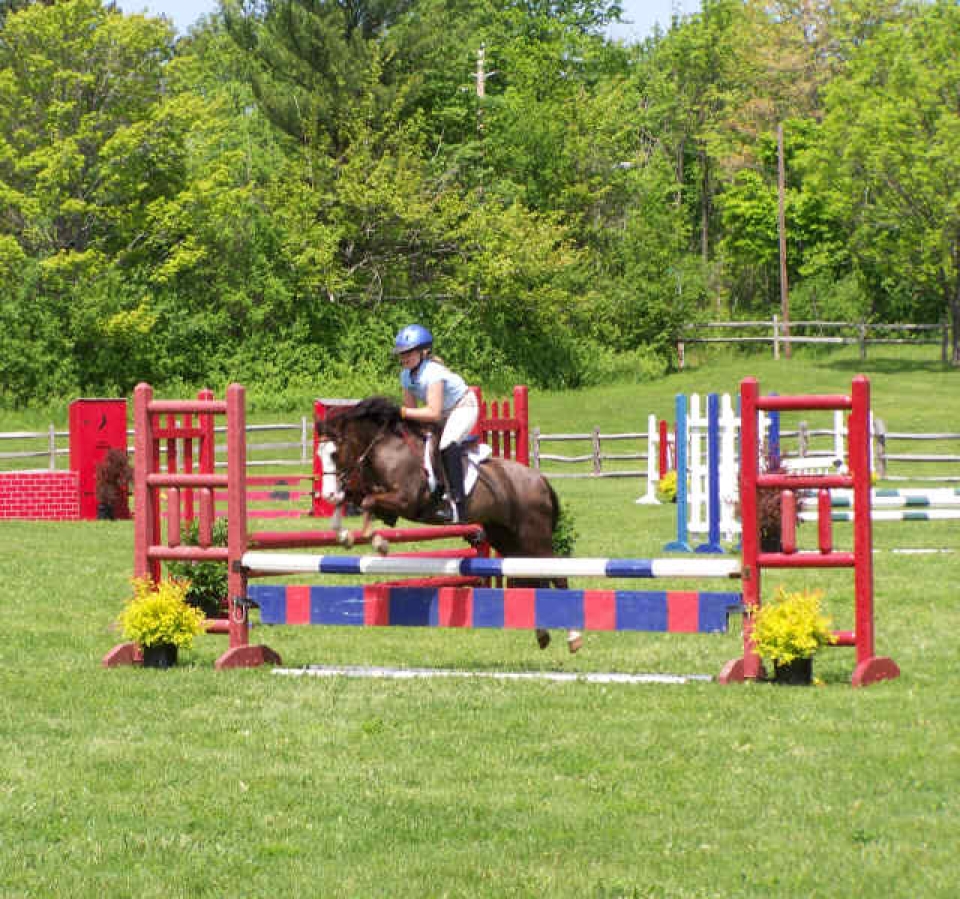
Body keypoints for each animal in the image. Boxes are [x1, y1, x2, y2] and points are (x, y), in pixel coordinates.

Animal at [318, 398, 580, 652]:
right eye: (319, 454)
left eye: (334, 454)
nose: (328, 494)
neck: (386, 450)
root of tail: (539, 478)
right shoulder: (377, 498)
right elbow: (354, 499)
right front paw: (345, 535)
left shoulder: (407, 500)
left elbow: (368, 502)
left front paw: (378, 542)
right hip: (506, 538)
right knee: (532, 577)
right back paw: (542, 634)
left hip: (534, 536)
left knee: (557, 575)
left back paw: (573, 637)